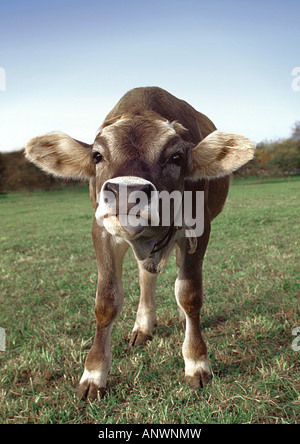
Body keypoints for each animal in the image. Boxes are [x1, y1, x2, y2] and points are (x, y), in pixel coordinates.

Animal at [25, 86, 253, 398]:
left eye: (177, 157)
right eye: (97, 155)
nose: (125, 193)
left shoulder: (199, 229)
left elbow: (189, 293)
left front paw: (196, 362)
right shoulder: (102, 232)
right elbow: (107, 300)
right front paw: (93, 374)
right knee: (147, 275)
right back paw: (143, 326)